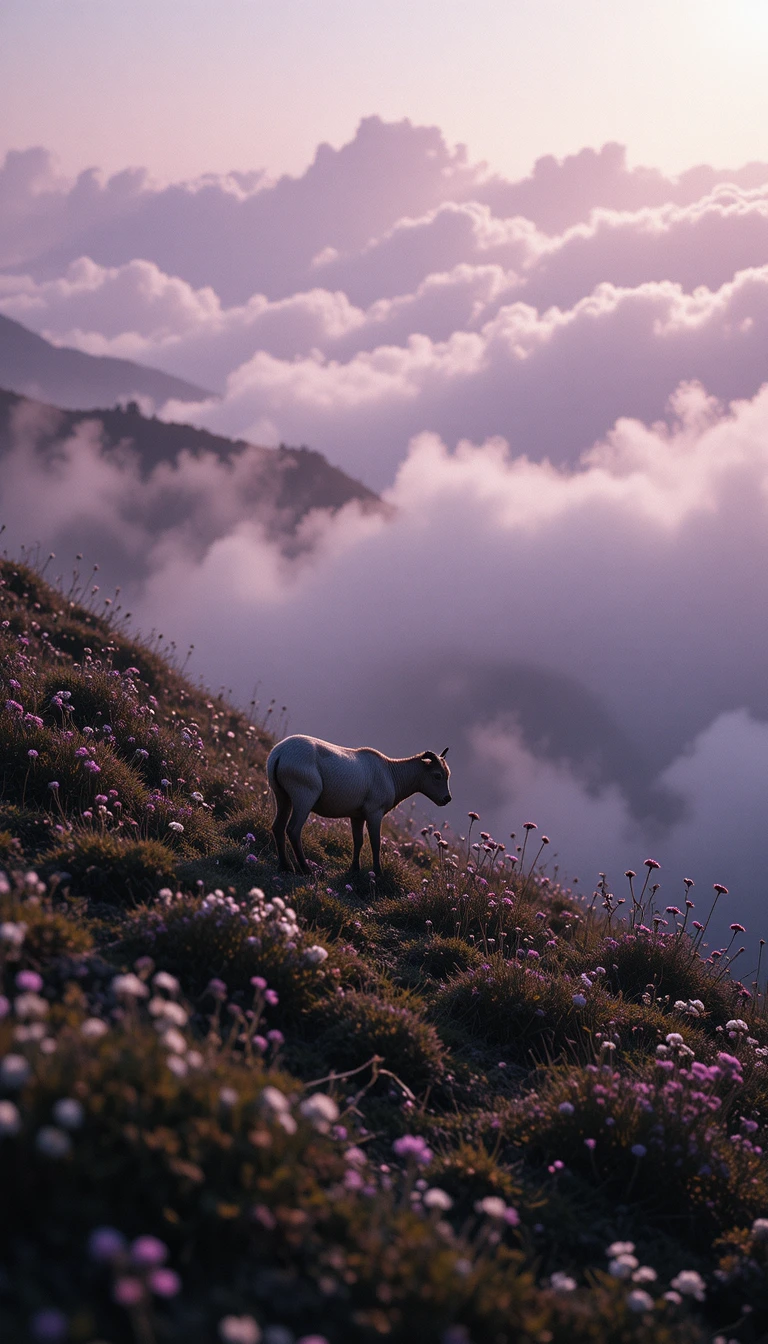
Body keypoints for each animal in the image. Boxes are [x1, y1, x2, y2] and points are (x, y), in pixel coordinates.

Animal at [267, 735, 451, 875]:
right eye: (437, 775)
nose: (447, 799)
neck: (392, 774)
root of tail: (279, 753)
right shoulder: (374, 812)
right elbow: (375, 843)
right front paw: (378, 873)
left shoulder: (357, 816)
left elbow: (358, 841)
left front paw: (354, 870)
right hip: (304, 796)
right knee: (293, 829)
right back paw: (305, 869)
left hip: (283, 796)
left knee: (278, 827)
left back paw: (285, 866)